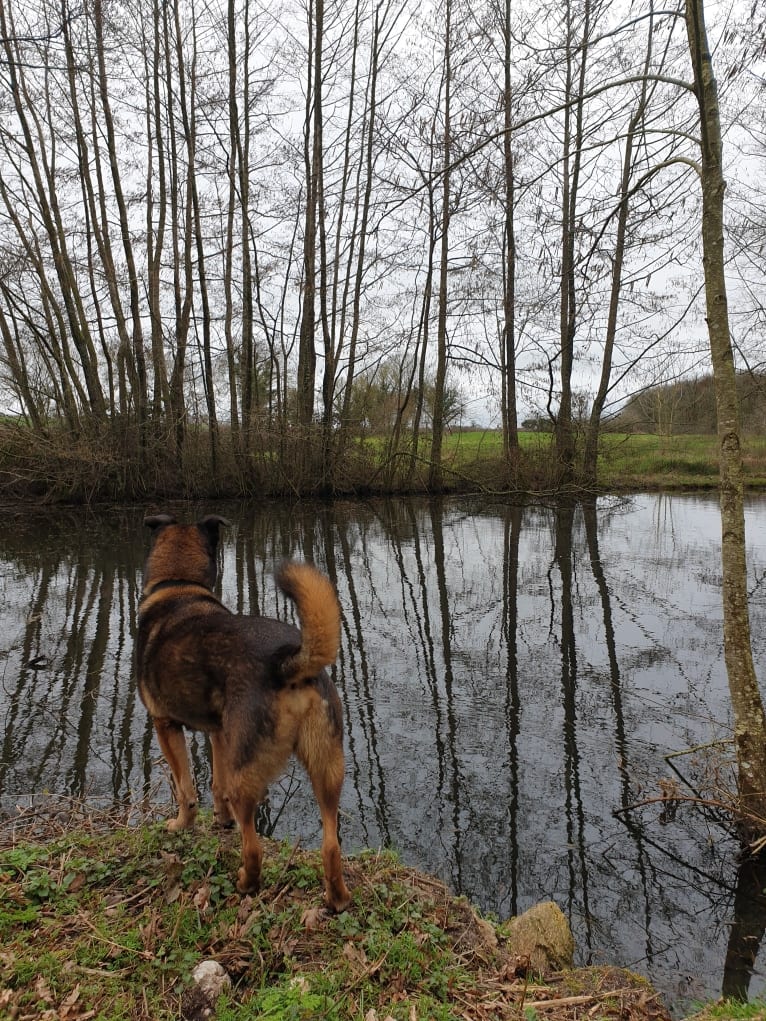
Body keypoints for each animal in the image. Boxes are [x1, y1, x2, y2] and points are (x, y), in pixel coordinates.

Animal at [136, 514, 353, 914]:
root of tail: (287, 663)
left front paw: (182, 824)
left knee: (253, 848)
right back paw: (338, 899)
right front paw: (220, 821)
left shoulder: (165, 724)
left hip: (249, 778)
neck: (178, 587)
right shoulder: (219, 733)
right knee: (331, 845)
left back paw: (245, 883)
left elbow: (186, 788)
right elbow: (215, 784)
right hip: (328, 767)